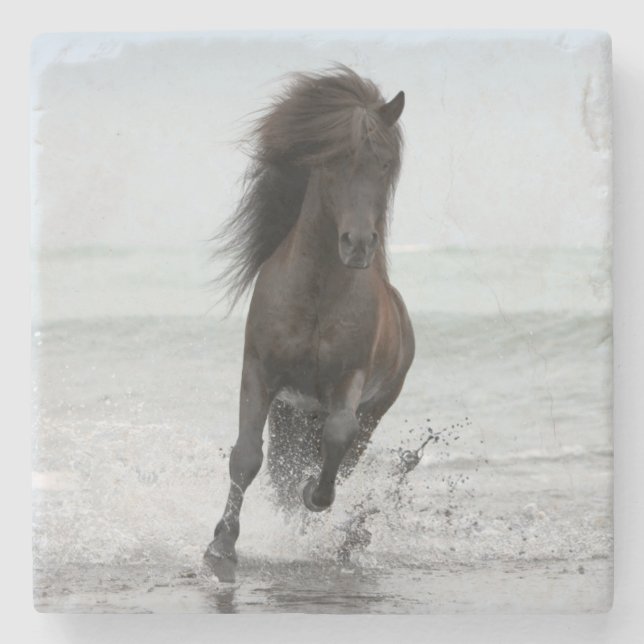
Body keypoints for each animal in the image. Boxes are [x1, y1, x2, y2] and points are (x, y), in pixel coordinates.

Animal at [204, 66, 415, 582]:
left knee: (339, 454)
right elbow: (245, 456)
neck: (317, 293)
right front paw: (222, 545)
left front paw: (313, 497)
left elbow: (334, 441)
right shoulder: (259, 372)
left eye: (384, 164)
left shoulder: (349, 381)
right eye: (334, 160)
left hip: (371, 412)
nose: (358, 244)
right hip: (290, 411)